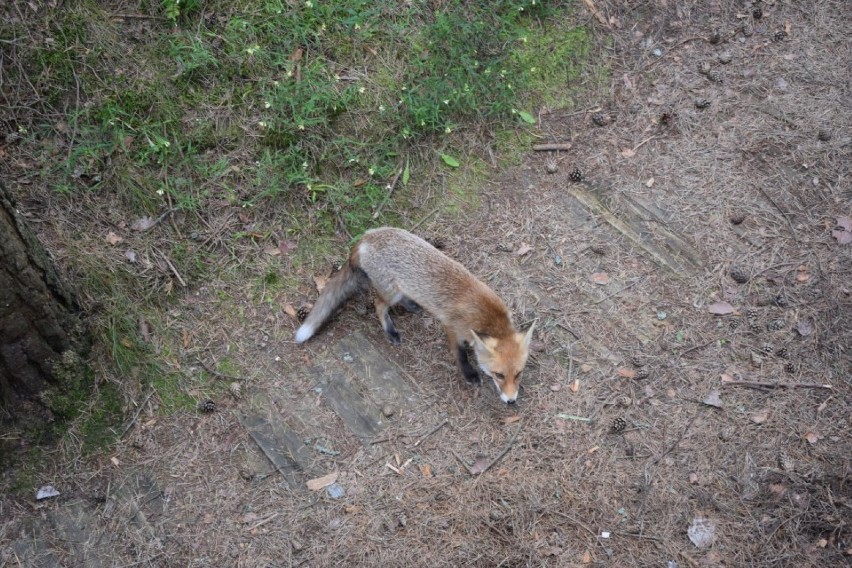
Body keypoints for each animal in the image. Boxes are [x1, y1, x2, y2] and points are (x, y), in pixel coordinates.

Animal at [296, 226, 536, 404]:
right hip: (390, 292)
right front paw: (469, 374)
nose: (511, 401)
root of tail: (365, 237)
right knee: (378, 305)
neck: (488, 317)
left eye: (518, 374)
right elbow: (460, 355)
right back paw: (390, 331)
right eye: (499, 375)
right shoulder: (452, 328)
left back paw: (412, 305)